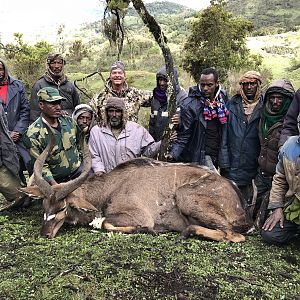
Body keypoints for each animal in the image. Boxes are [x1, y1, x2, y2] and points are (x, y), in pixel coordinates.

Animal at [20, 122, 251, 241]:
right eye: (44, 205)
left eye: (62, 207)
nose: (45, 233)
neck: (111, 187)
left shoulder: (138, 216)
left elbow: (105, 223)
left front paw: (150, 230)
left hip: (185, 196)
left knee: (232, 235)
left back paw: (186, 231)